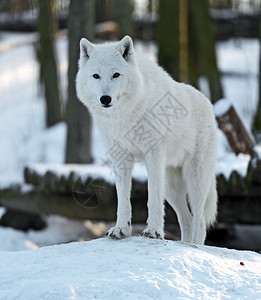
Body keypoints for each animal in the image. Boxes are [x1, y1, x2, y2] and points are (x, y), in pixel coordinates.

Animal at [75, 35, 217, 246]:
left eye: (116, 75)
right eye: (96, 76)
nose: (105, 99)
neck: (126, 115)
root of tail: (208, 103)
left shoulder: (154, 154)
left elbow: (153, 198)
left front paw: (154, 231)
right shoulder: (121, 158)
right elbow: (123, 199)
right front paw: (121, 229)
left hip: (195, 180)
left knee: (199, 221)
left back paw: (193, 247)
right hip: (172, 187)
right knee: (187, 220)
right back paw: (183, 245)